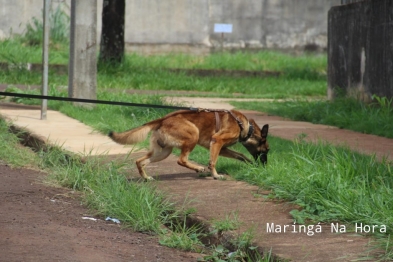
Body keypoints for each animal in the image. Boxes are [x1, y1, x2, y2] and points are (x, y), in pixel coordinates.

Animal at [108, 108, 268, 180]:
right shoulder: (217, 141)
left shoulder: (221, 148)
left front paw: (250, 164)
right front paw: (215, 175)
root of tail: (162, 119)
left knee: (140, 161)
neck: (245, 127)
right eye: (266, 150)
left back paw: (146, 178)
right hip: (193, 135)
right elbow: (213, 162)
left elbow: (240, 155)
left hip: (163, 152)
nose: (264, 165)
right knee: (181, 160)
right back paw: (198, 168)